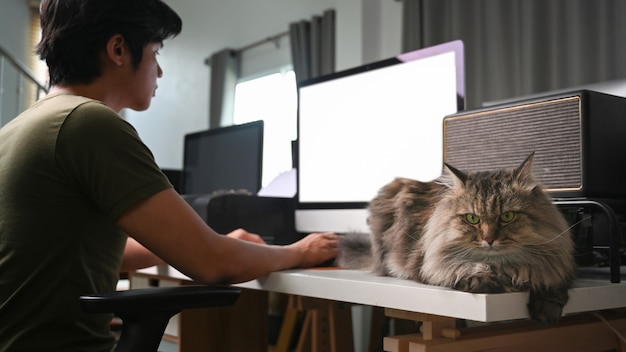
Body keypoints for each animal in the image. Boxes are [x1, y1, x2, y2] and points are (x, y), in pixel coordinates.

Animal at [336, 154, 576, 324]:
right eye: (472, 218)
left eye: (507, 216)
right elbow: (464, 269)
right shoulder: (431, 265)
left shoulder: (555, 260)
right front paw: (483, 280)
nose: (489, 239)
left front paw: (546, 309)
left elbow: (550, 279)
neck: (501, 266)